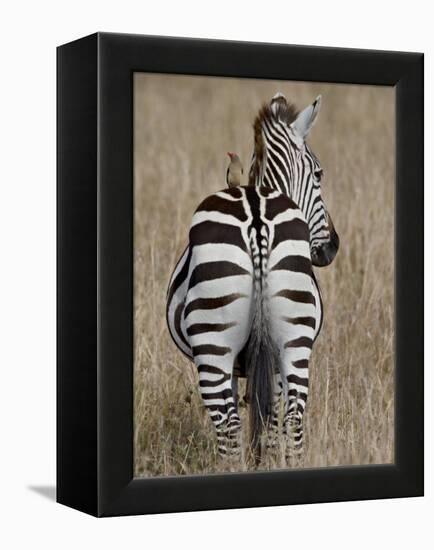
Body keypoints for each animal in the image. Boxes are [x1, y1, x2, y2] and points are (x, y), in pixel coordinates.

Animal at [166, 94, 340, 462]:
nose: (332, 246)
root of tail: (257, 219)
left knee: (229, 425)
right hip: (294, 338)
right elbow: (268, 421)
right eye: (319, 174)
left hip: (214, 343)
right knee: (293, 417)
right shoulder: (269, 362)